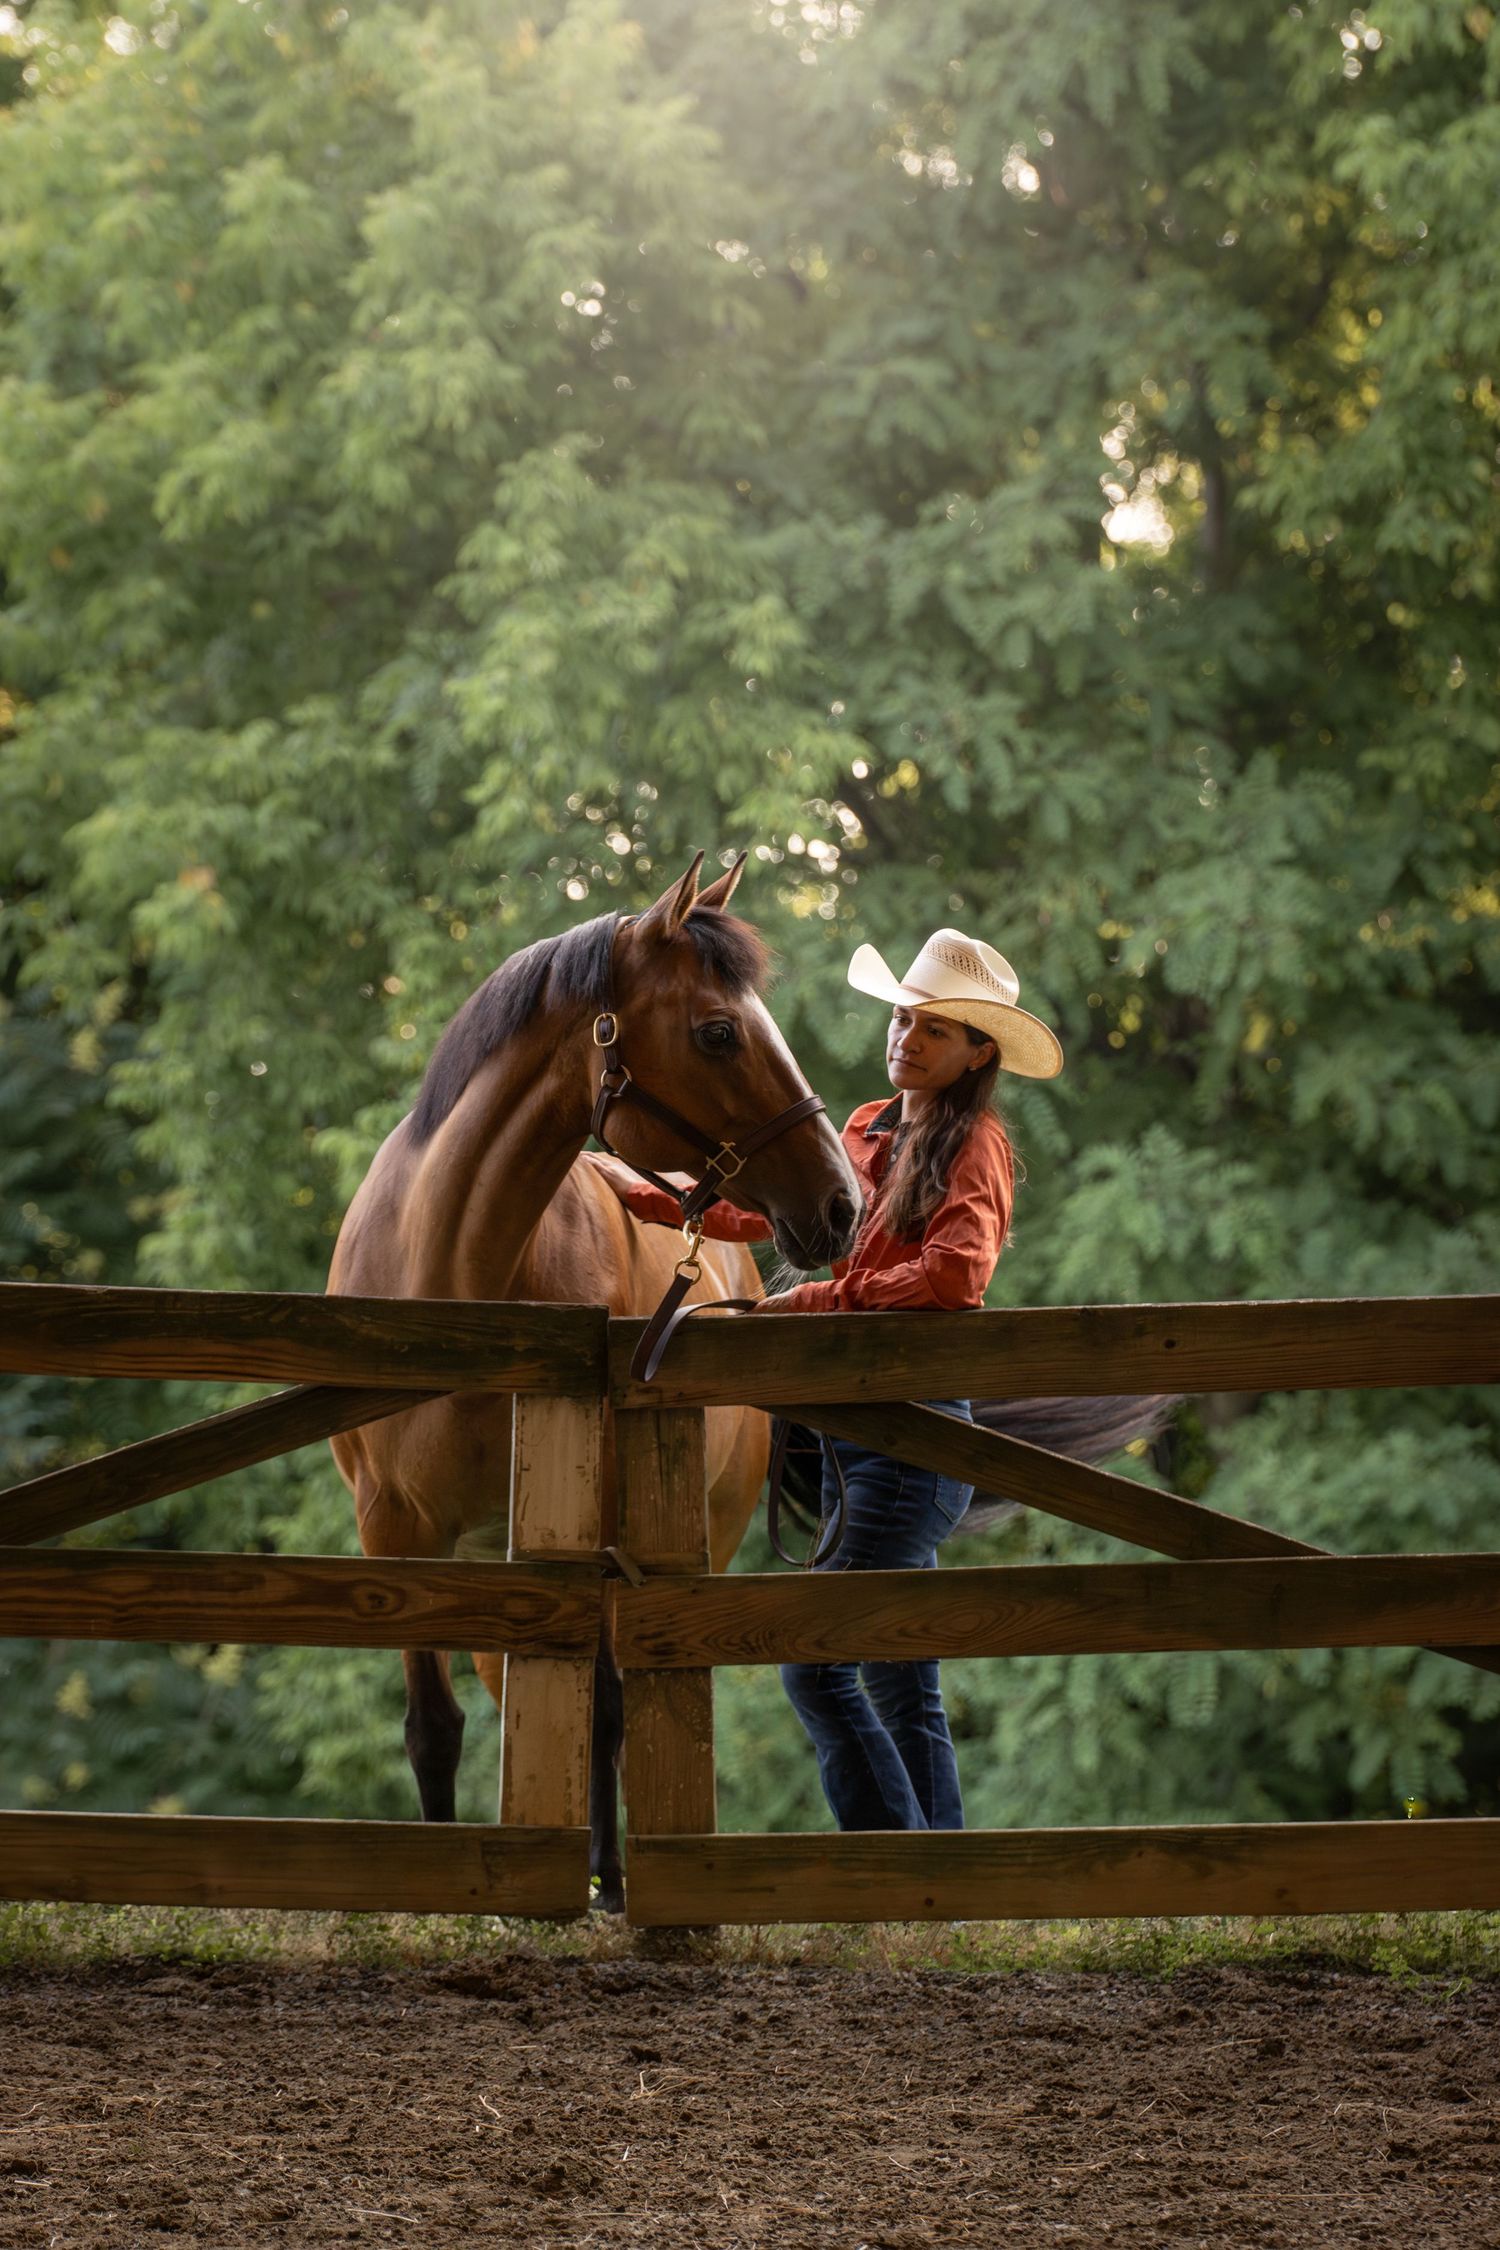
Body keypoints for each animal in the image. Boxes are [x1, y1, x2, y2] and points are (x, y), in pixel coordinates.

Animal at [327, 853, 861, 1909]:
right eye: (718, 1030)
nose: (841, 1202)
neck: (459, 1276)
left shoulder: (600, 1536)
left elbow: (607, 1711)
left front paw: (607, 1885)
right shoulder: (397, 1533)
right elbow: (434, 1729)